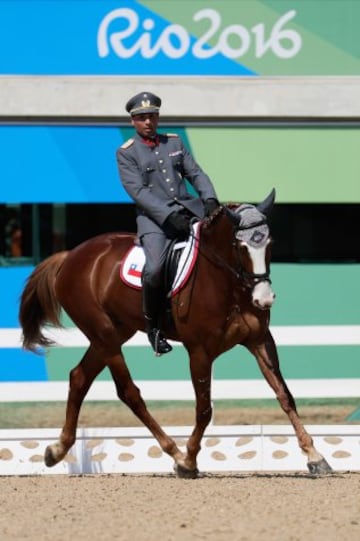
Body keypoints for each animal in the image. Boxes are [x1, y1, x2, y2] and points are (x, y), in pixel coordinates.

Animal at [17, 190, 332, 476]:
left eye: (269, 243)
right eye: (240, 245)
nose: (264, 299)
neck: (226, 282)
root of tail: (71, 255)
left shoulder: (260, 341)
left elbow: (284, 395)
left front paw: (315, 457)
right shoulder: (199, 351)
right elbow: (204, 409)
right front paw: (189, 461)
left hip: (112, 333)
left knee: (79, 377)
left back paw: (56, 450)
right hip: (104, 335)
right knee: (129, 392)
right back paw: (175, 453)